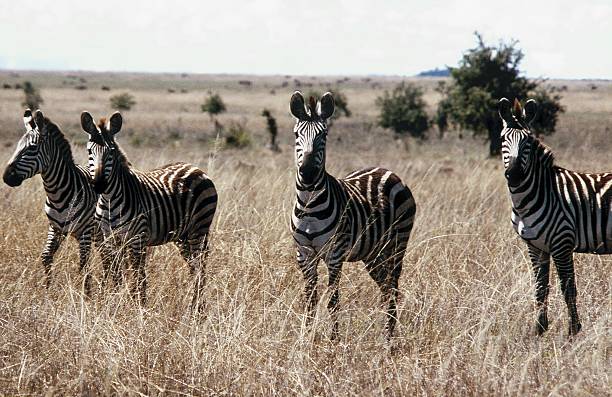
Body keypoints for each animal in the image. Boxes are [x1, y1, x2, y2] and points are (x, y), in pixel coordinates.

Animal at [2, 108, 106, 294]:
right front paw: (48, 290)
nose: (6, 177)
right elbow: (46, 256)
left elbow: (84, 264)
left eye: (32, 148)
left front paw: (86, 295)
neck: (57, 194)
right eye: (17, 146)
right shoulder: (55, 228)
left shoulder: (86, 230)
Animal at [79, 110, 218, 308]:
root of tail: (196, 168)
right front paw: (114, 302)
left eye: (111, 152)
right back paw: (196, 305)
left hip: (198, 228)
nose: (98, 185)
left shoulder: (137, 238)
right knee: (194, 268)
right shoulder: (110, 238)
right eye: (89, 151)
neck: (108, 200)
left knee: (200, 267)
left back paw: (196, 308)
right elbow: (116, 274)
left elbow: (138, 276)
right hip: (182, 236)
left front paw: (139, 307)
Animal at [290, 92, 416, 338]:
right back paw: (386, 333)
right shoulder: (304, 254)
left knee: (393, 288)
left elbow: (332, 300)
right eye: (296, 134)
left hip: (397, 244)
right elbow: (310, 300)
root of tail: (388, 170)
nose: (307, 173)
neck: (309, 205)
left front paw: (334, 340)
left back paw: (389, 338)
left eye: (324, 135)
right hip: (374, 253)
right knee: (386, 288)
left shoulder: (335, 255)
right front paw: (305, 338)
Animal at [500, 97, 608, 336]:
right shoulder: (536, 246)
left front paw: (574, 331)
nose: (515, 175)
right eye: (503, 139)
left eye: (528, 142)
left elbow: (568, 289)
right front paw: (539, 330)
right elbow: (541, 288)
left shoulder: (562, 242)